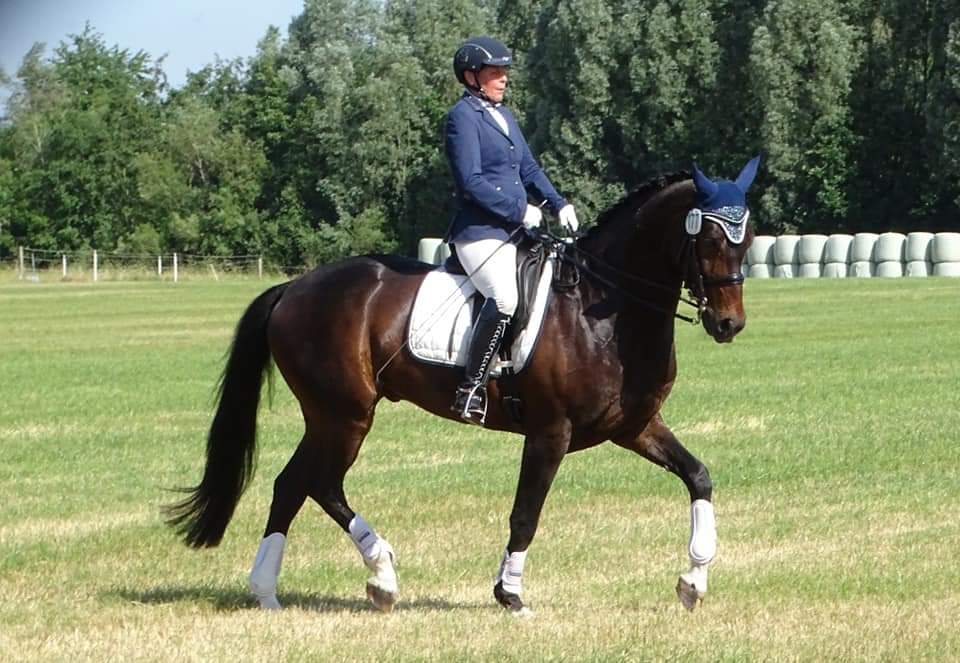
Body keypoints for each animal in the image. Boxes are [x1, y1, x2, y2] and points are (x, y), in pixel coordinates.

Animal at [166, 157, 759, 615]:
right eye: (707, 237)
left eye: (747, 239)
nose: (729, 325)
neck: (603, 309)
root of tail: (293, 288)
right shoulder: (550, 432)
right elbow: (525, 514)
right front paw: (510, 595)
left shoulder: (634, 426)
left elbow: (699, 477)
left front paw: (693, 582)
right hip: (344, 414)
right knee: (312, 483)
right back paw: (361, 578)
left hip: (333, 416)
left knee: (298, 484)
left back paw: (302, 588)